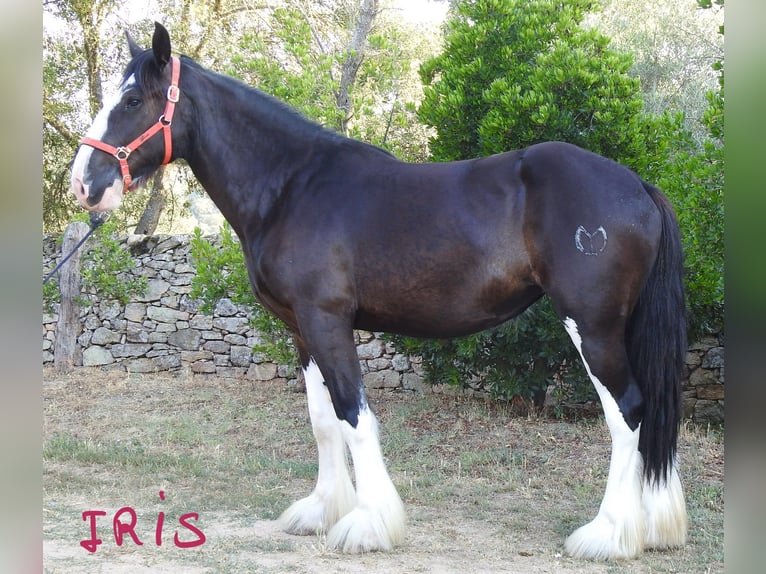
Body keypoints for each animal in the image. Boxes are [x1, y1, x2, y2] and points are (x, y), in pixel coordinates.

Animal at [70, 23, 688, 564]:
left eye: (132, 101)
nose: (83, 183)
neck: (291, 186)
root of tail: (637, 185)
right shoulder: (300, 330)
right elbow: (323, 421)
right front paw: (321, 511)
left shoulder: (327, 321)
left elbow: (354, 415)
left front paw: (367, 525)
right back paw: (653, 527)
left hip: (593, 325)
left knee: (628, 412)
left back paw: (608, 535)